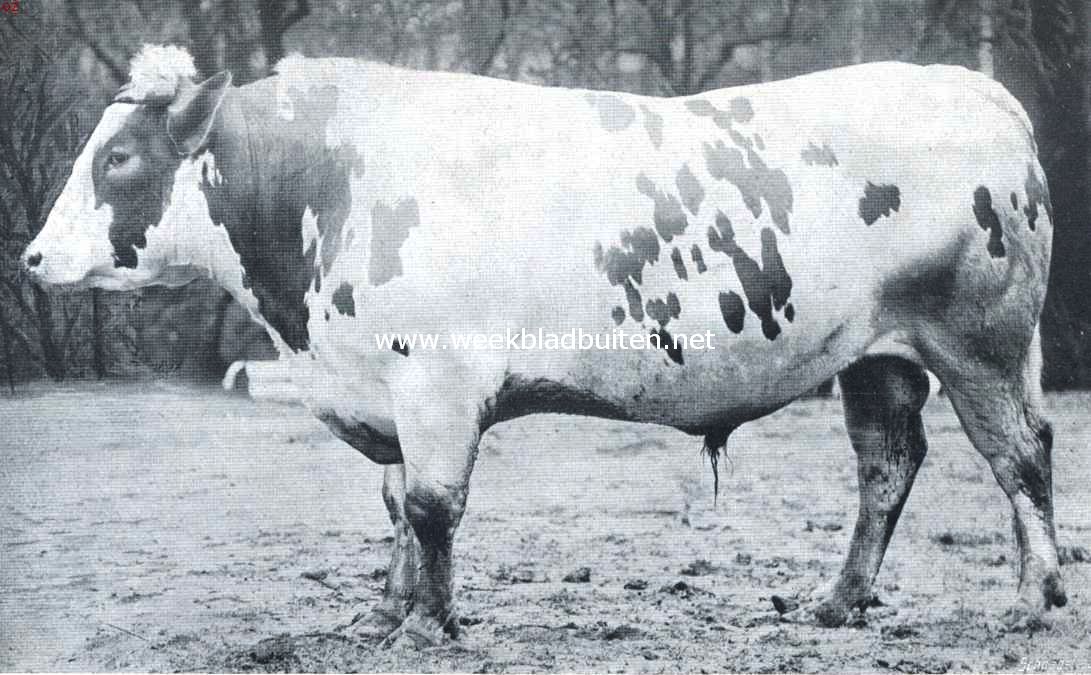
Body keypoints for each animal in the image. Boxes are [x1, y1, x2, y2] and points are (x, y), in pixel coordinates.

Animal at [23, 44, 1064, 645]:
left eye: (118, 157)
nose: (32, 256)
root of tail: (967, 86)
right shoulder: (383, 388)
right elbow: (397, 503)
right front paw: (385, 611)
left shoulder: (432, 380)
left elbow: (433, 505)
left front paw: (432, 624)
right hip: (874, 356)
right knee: (887, 464)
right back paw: (837, 600)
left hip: (977, 343)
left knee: (1020, 453)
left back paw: (1031, 598)